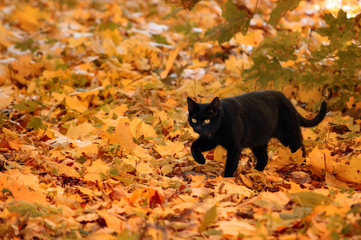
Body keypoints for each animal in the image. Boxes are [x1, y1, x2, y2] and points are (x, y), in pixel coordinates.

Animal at [186, 90, 326, 176]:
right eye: (194, 120)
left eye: (207, 120)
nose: (198, 128)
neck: (217, 129)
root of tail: (288, 100)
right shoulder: (209, 140)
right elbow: (193, 145)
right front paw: (200, 160)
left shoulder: (234, 146)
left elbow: (230, 164)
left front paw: (226, 180)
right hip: (258, 141)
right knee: (264, 158)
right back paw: (256, 173)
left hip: (288, 134)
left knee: (299, 147)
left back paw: (301, 166)